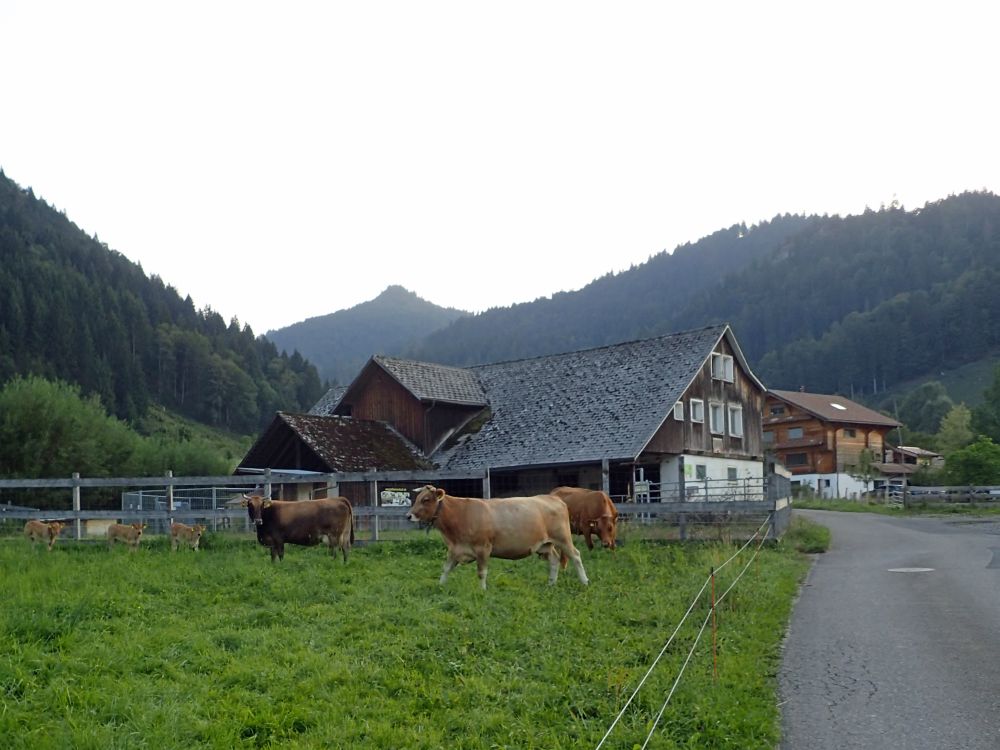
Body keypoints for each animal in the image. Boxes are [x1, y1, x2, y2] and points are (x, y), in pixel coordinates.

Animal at [406, 484, 588, 592]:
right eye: (417, 498)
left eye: (426, 499)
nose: (408, 516)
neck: (461, 514)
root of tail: (553, 497)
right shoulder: (455, 549)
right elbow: (446, 569)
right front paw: (440, 586)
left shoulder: (483, 548)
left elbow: (481, 572)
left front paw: (482, 591)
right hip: (546, 544)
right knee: (554, 560)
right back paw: (551, 583)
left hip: (563, 538)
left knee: (576, 556)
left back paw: (584, 581)